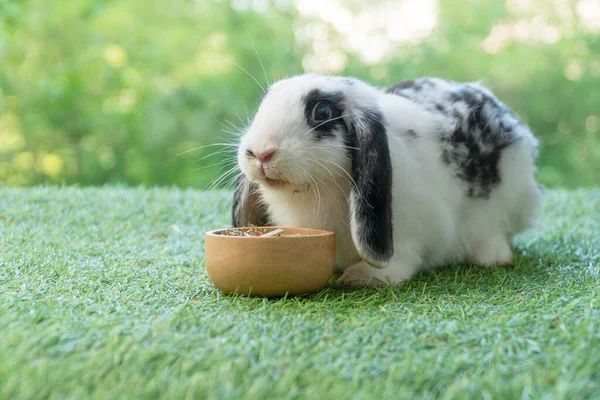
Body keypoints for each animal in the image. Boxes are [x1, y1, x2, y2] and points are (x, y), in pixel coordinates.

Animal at [230, 73, 544, 288]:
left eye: (322, 112)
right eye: (263, 104)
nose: (260, 153)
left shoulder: (408, 235)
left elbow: (400, 260)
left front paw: (361, 278)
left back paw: (491, 256)